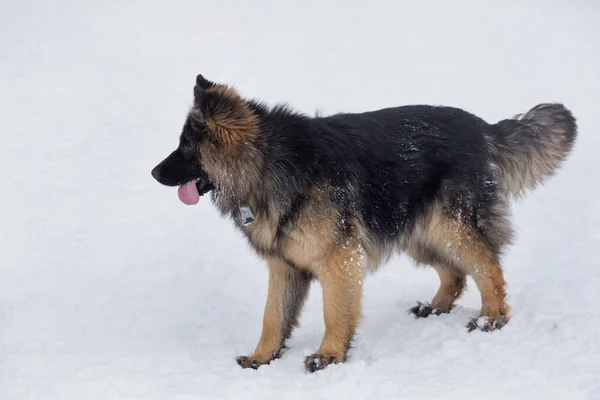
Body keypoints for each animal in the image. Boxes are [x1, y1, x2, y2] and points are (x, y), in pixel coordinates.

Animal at [150, 74, 576, 372]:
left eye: (185, 149)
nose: (153, 173)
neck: (267, 163)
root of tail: (481, 127)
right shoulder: (285, 266)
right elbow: (273, 317)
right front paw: (262, 357)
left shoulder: (340, 259)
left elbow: (334, 312)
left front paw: (328, 356)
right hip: (419, 231)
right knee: (455, 274)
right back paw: (436, 307)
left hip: (451, 228)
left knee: (489, 269)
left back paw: (491, 318)